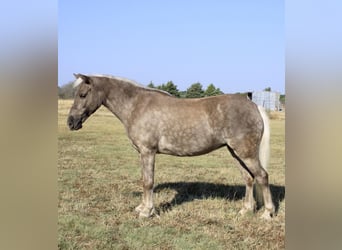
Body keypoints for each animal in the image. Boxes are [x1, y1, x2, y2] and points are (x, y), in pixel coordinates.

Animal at [67, 73, 276, 220]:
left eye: (83, 94)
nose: (71, 122)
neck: (136, 105)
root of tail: (254, 106)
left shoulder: (148, 152)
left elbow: (148, 182)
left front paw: (146, 212)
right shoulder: (143, 153)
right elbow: (144, 180)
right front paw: (142, 207)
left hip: (246, 153)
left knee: (262, 176)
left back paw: (267, 213)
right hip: (235, 152)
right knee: (248, 179)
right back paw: (245, 210)